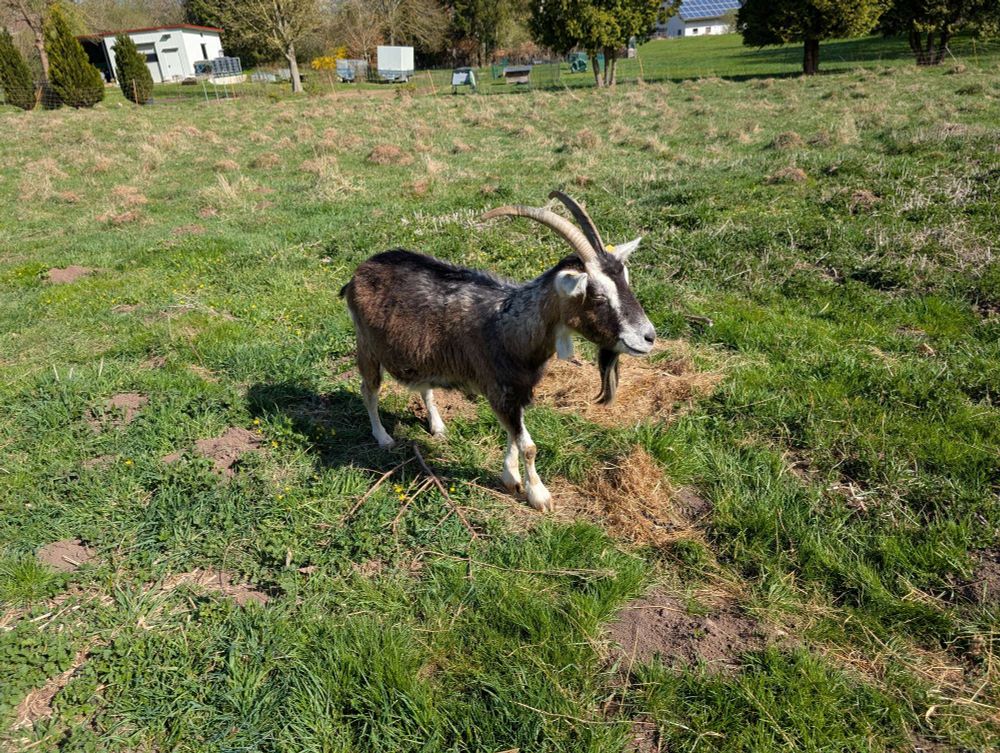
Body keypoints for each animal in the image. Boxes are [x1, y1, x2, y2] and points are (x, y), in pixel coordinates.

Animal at [340, 191, 655, 511]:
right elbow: (528, 445)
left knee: (424, 387)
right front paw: (539, 495)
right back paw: (383, 437)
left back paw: (437, 426)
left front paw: (511, 477)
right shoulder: (500, 390)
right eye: (598, 296)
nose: (649, 337)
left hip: (420, 354)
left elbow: (513, 436)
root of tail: (360, 272)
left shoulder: (517, 391)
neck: (509, 326)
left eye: (626, 283)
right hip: (367, 345)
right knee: (369, 389)